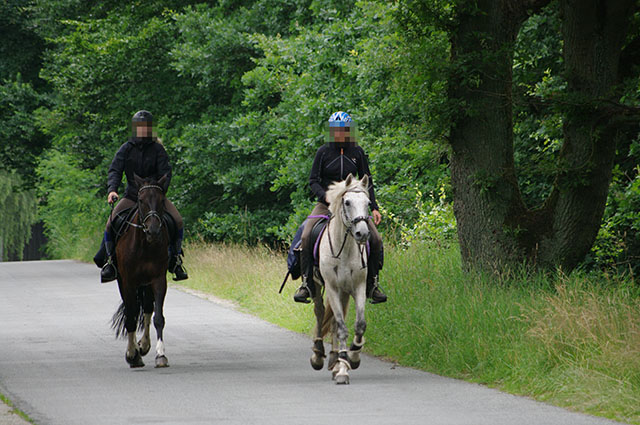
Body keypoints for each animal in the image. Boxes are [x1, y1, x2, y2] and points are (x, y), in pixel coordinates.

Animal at [112, 174, 170, 366]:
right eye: (141, 200)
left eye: (161, 200)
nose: (153, 231)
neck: (145, 245)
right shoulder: (127, 282)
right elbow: (130, 316)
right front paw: (132, 354)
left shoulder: (158, 279)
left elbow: (157, 317)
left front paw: (160, 355)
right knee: (133, 311)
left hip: (146, 285)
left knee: (147, 309)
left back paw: (144, 346)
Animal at [308, 173, 370, 384]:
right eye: (347, 202)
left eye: (368, 203)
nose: (362, 233)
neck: (345, 250)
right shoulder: (333, 288)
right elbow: (342, 328)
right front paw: (343, 369)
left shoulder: (358, 287)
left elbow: (359, 324)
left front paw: (352, 356)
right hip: (317, 287)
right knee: (320, 313)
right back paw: (318, 355)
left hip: (344, 292)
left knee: (335, 321)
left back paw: (335, 361)